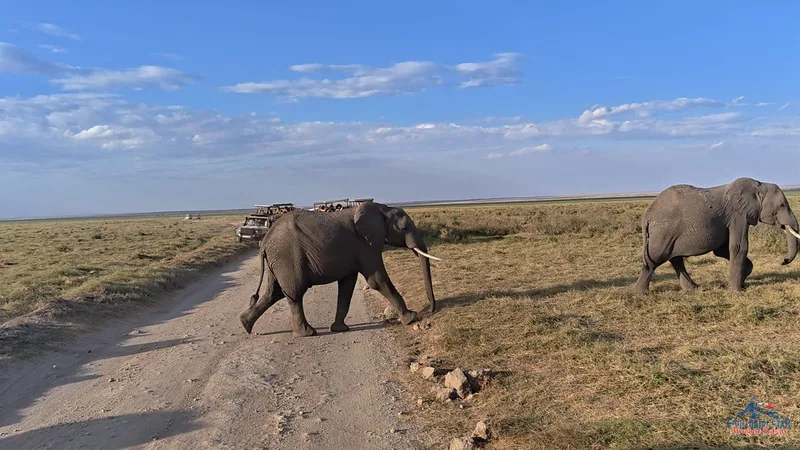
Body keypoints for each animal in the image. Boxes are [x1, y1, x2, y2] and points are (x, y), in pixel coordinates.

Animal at [239, 201, 441, 337]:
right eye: (404, 227)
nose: (431, 310)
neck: (381, 208)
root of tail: (265, 240)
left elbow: (347, 286)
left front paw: (340, 329)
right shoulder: (364, 245)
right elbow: (377, 280)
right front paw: (411, 318)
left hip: (278, 262)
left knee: (274, 294)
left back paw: (245, 325)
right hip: (287, 258)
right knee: (294, 294)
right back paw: (307, 333)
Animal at [635, 177, 800, 294]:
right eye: (781, 206)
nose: (783, 261)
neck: (759, 185)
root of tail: (647, 216)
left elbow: (722, 250)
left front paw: (743, 281)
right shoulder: (737, 215)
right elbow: (738, 247)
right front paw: (736, 291)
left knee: (675, 259)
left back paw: (693, 288)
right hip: (663, 232)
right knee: (654, 259)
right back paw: (640, 293)